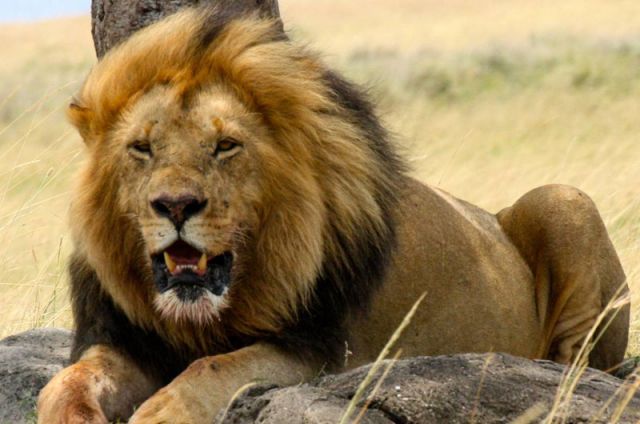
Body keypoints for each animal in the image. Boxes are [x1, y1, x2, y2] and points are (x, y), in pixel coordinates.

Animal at [37, 5, 629, 423]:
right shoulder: (119, 336)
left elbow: (218, 367)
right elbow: (65, 384)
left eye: (226, 146)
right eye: (141, 148)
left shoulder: (323, 351)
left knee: (580, 367)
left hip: (564, 198)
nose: (176, 205)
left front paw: (162, 411)